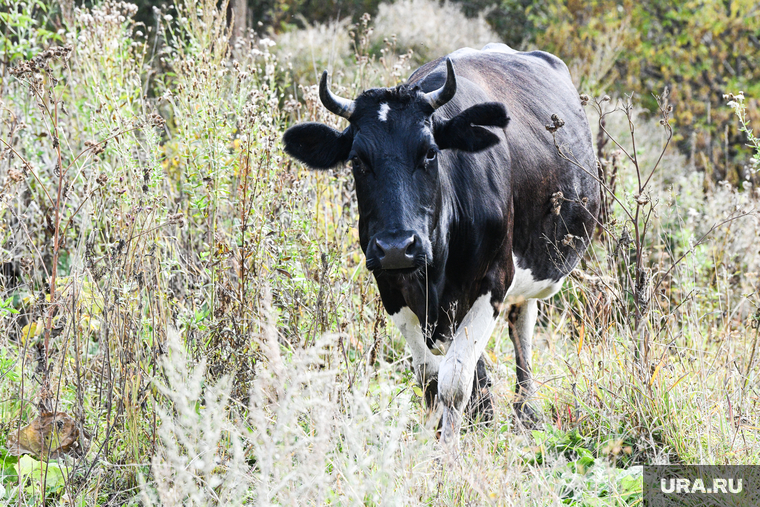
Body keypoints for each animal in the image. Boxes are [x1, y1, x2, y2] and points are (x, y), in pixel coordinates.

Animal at [282, 43, 604, 444]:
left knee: (522, 330)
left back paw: (525, 411)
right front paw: (436, 437)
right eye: (357, 160)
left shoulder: (495, 279)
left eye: (431, 152)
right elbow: (429, 377)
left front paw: (448, 448)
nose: (396, 246)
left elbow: (453, 380)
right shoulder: (390, 286)